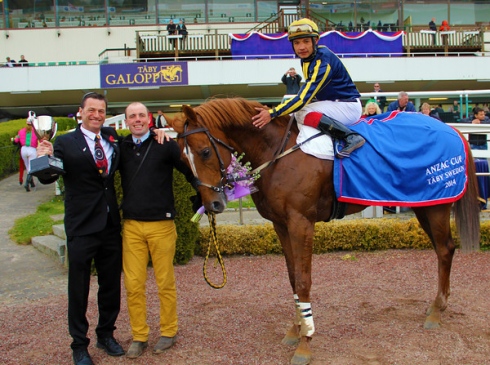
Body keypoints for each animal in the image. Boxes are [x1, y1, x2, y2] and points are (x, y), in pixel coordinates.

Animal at [174, 97, 480, 364]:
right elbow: (292, 278)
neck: (279, 152)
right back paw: (437, 305)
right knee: (443, 249)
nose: (212, 204)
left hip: (436, 206)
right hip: (423, 204)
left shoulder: (301, 223)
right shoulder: (281, 225)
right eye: (182, 159)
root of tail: (452, 129)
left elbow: (304, 281)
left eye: (204, 151)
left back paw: (436, 312)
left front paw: (305, 342)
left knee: (445, 249)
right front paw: (296, 328)